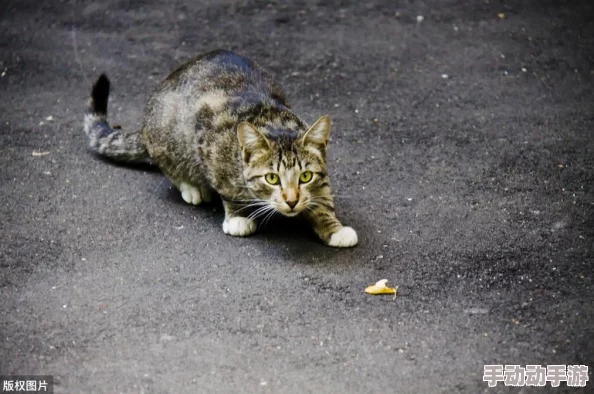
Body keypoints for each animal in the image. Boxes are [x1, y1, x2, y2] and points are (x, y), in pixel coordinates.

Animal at [82, 49, 356, 246]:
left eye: (305, 176)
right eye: (272, 178)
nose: (291, 201)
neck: (273, 118)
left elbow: (323, 198)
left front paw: (333, 227)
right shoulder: (207, 141)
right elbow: (227, 188)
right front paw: (238, 217)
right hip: (169, 137)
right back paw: (192, 187)